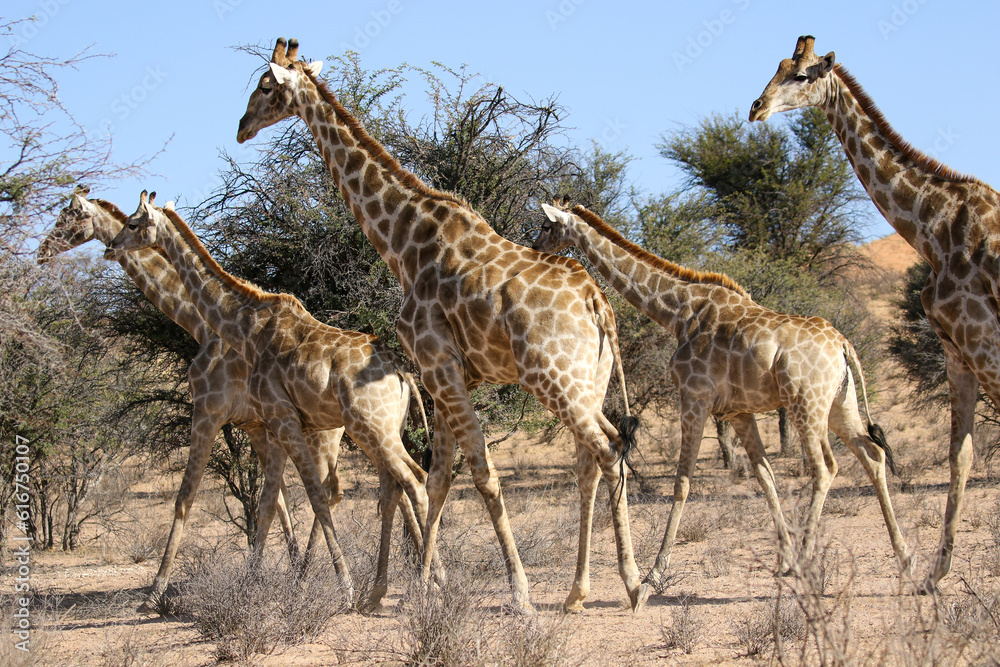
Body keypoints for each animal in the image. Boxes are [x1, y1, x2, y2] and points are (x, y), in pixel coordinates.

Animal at [103, 191, 432, 609]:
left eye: (132, 223)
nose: (111, 246)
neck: (246, 328)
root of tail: (404, 374)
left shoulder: (279, 418)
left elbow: (312, 497)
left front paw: (342, 587)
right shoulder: (273, 426)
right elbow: (269, 502)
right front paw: (255, 585)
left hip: (369, 428)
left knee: (413, 481)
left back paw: (421, 587)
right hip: (378, 430)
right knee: (398, 486)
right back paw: (386, 592)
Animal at [236, 38, 642, 612]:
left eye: (266, 85)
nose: (241, 125)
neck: (403, 244)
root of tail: (596, 301)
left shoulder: (437, 363)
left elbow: (481, 474)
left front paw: (517, 594)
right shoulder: (445, 372)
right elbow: (438, 480)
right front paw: (422, 588)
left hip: (552, 377)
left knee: (607, 450)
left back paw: (631, 584)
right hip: (590, 378)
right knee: (599, 453)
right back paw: (578, 592)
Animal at [532, 203, 910, 606]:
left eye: (546, 226)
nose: (535, 248)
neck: (678, 312)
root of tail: (843, 344)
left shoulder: (693, 398)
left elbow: (682, 483)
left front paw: (651, 578)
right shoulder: (738, 411)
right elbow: (765, 477)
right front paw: (785, 561)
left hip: (806, 404)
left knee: (826, 467)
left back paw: (811, 559)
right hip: (841, 405)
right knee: (872, 454)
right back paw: (904, 557)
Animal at [749, 35, 1000, 592]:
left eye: (803, 74)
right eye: (778, 65)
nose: (756, 108)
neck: (933, 228)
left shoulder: (985, 342)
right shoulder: (957, 350)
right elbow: (961, 455)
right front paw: (934, 573)